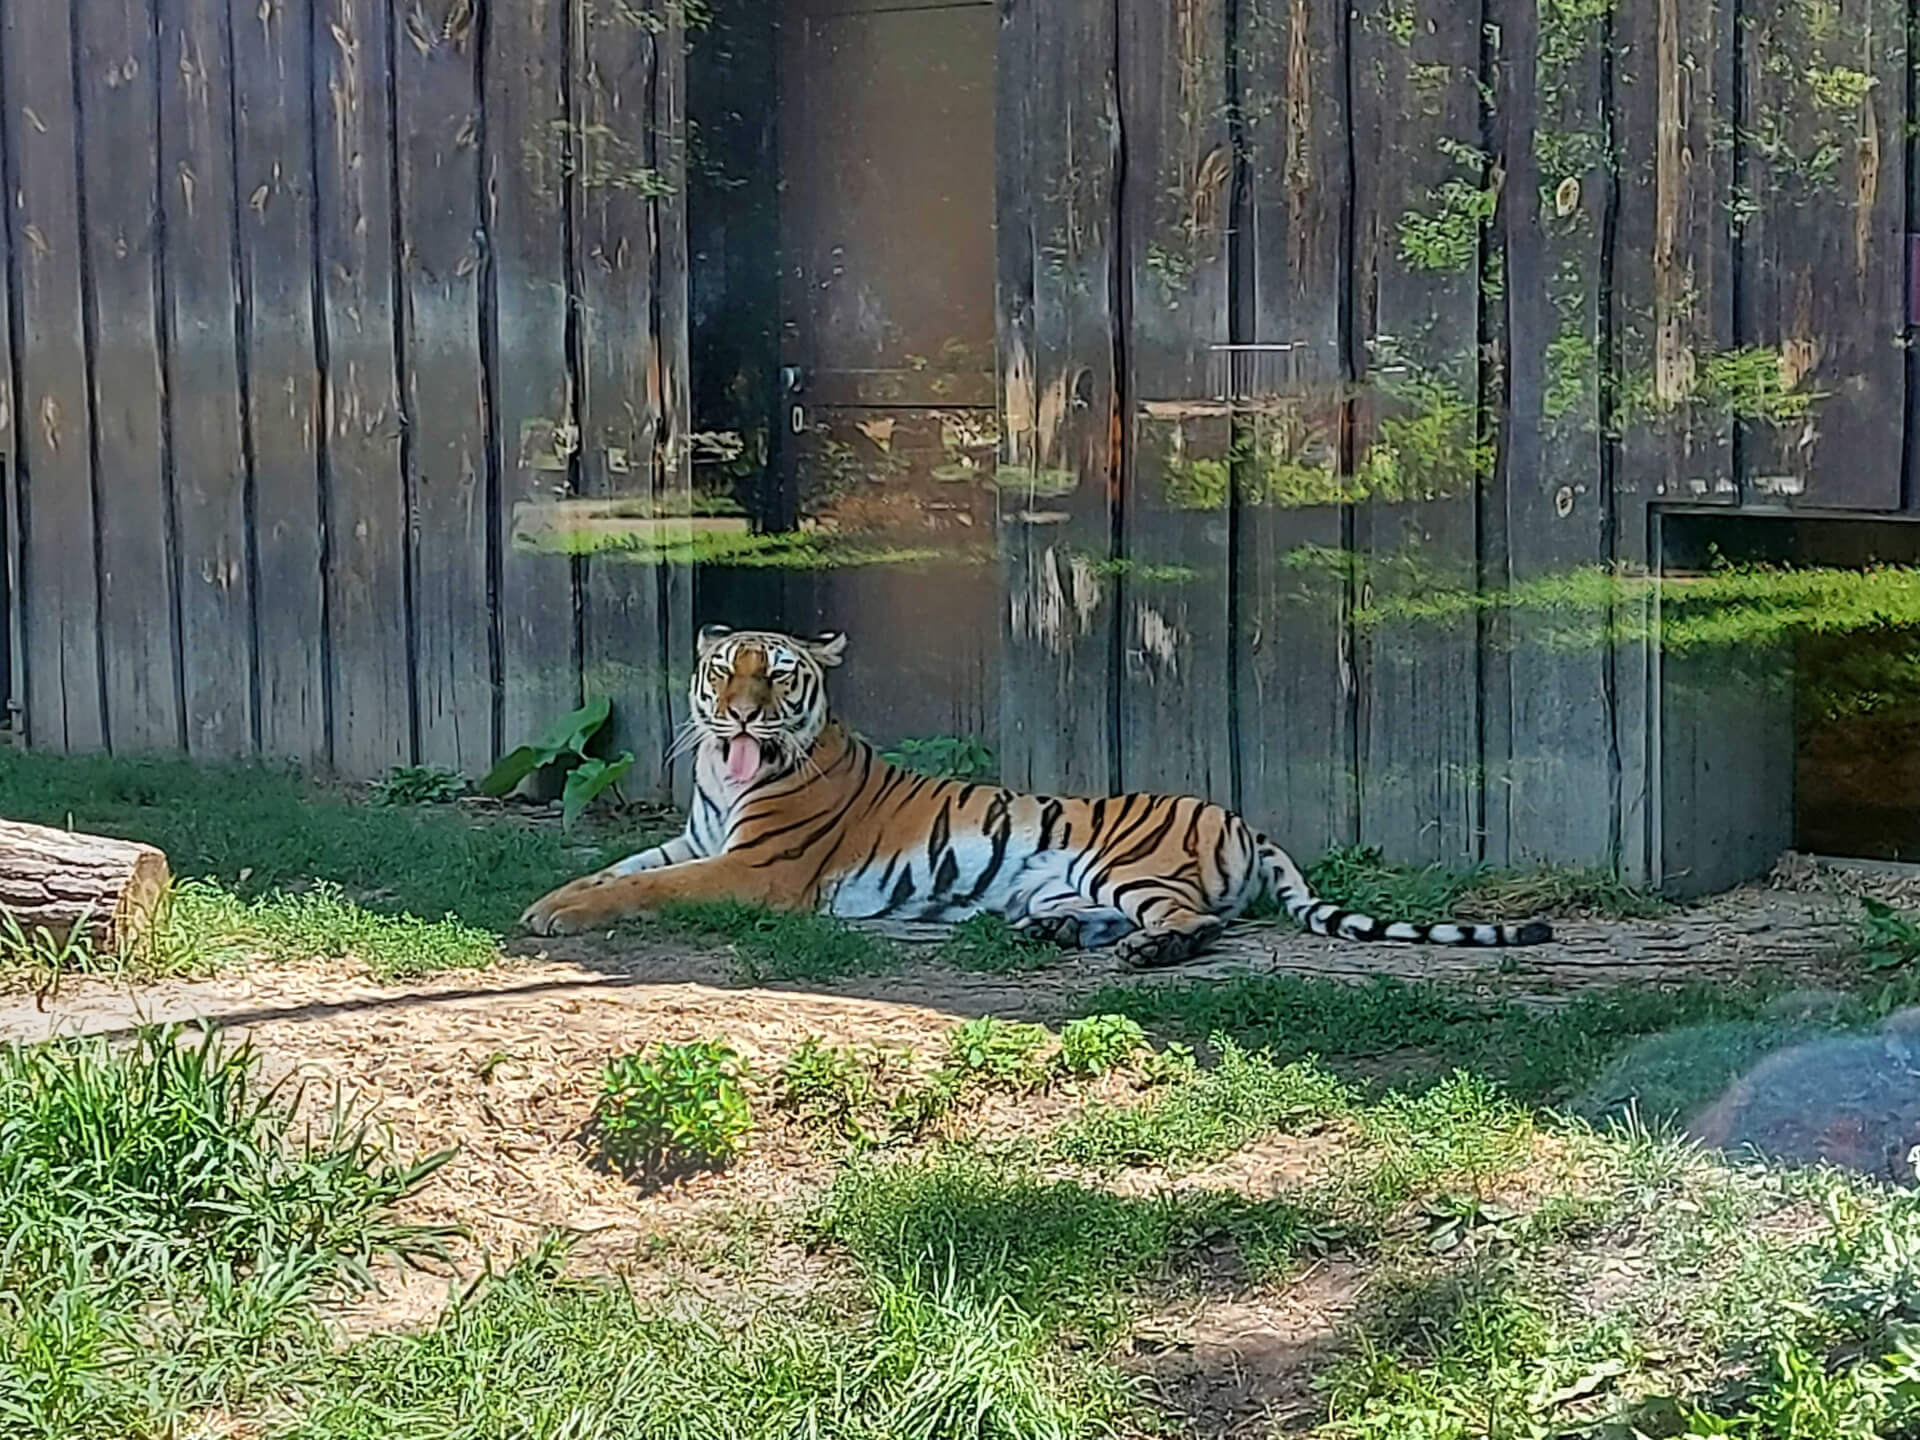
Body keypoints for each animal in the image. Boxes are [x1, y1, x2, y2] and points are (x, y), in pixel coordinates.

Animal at [514, 622, 1559, 971]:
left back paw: (1143, 952)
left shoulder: (754, 872)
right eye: (722, 670)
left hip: (1126, 864)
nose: (736, 716)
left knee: (1195, 924)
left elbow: (642, 888)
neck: (725, 785)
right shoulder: (696, 842)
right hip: (1066, 878)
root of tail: (1246, 819)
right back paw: (1044, 933)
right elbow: (617, 869)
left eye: (775, 676)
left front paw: (557, 917)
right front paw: (545, 903)